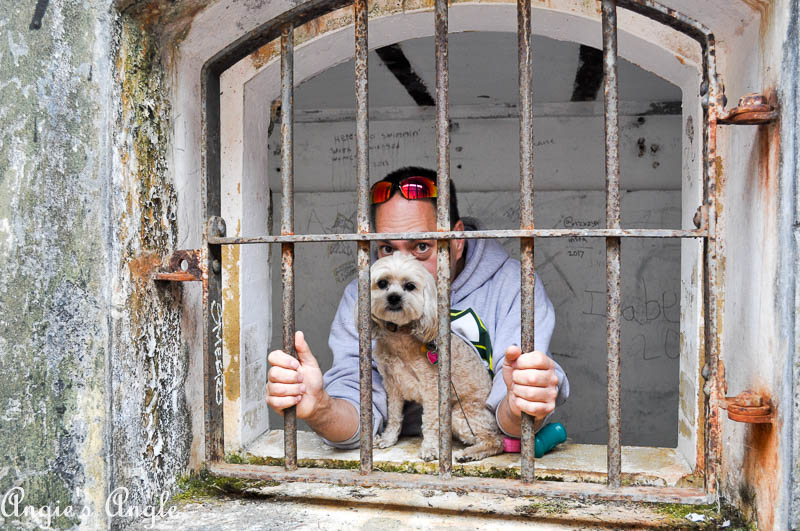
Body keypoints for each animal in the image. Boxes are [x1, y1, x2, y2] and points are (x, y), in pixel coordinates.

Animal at [368, 251, 500, 464]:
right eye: (382, 283)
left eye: (410, 286)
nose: (394, 297)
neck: (400, 336)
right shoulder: (392, 386)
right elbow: (394, 415)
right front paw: (388, 439)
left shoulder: (431, 388)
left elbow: (430, 422)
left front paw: (430, 448)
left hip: (460, 413)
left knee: (496, 440)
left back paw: (470, 453)